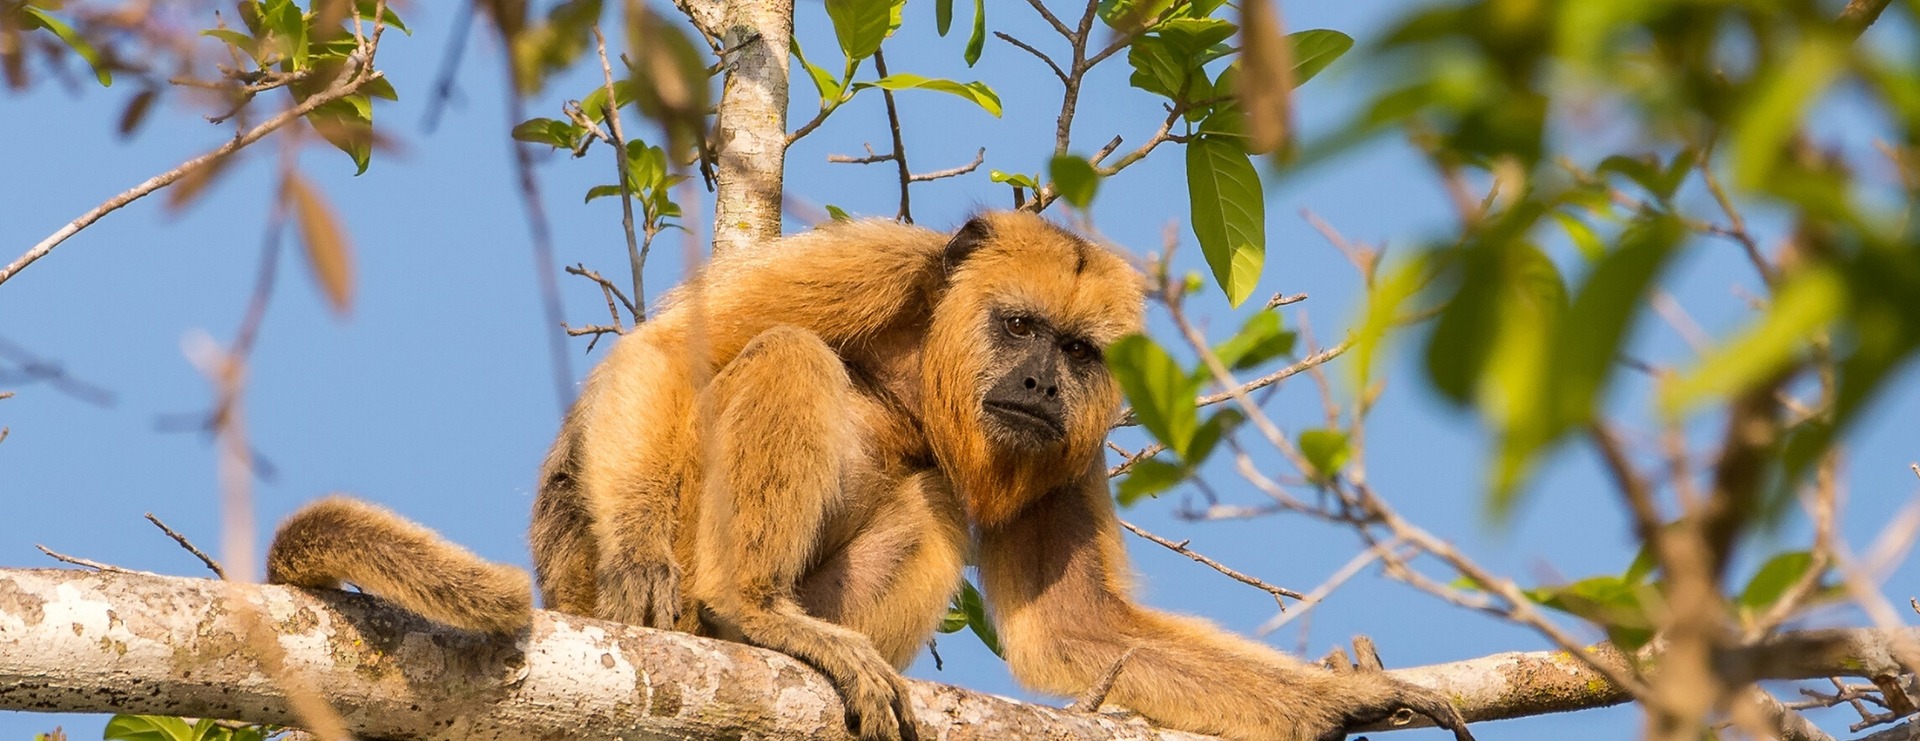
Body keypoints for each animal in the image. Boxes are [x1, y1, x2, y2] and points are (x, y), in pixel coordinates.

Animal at [267, 212, 1475, 741]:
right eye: (1019, 326)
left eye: (1082, 353)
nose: (1040, 381)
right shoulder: (880, 254)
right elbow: (667, 352)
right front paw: (649, 558)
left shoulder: (1073, 456)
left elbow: (1079, 635)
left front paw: (1350, 702)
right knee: (786, 357)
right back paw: (743, 610)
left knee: (933, 496)